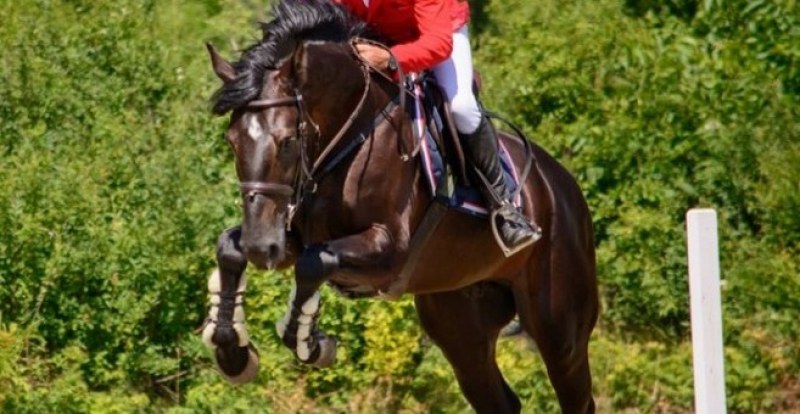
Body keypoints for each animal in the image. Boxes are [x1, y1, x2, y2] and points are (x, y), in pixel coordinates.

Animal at [200, 1, 600, 412]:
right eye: (232, 141)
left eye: (287, 141)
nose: (261, 246)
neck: (353, 130)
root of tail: (564, 185)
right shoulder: (292, 234)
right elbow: (230, 248)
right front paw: (232, 351)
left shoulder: (390, 248)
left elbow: (313, 262)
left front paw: (308, 340)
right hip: (461, 323)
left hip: (560, 327)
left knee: (576, 392)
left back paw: (514, 224)